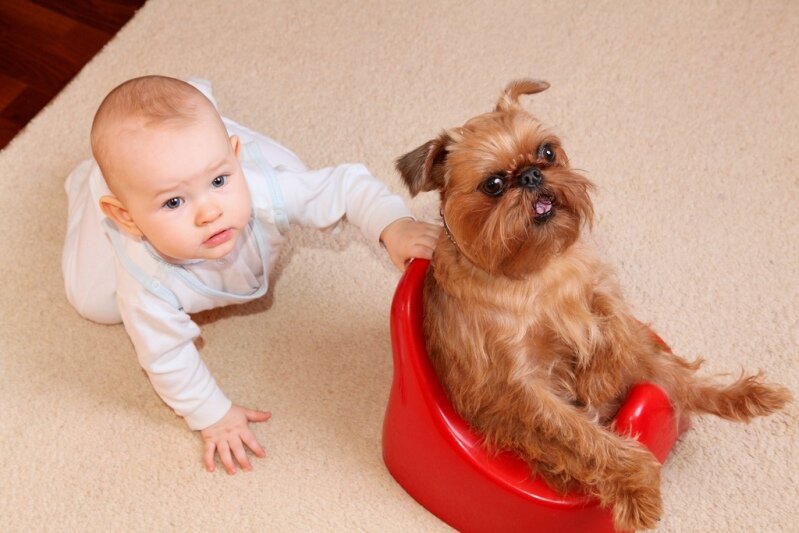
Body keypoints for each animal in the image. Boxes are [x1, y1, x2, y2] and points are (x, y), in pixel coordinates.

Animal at [396, 80, 792, 532]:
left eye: (548, 151)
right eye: (494, 184)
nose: (531, 174)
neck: (533, 274)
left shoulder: (597, 285)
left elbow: (612, 323)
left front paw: (598, 380)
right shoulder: (525, 388)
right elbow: (587, 439)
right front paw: (638, 489)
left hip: (651, 361)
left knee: (683, 382)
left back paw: (750, 395)